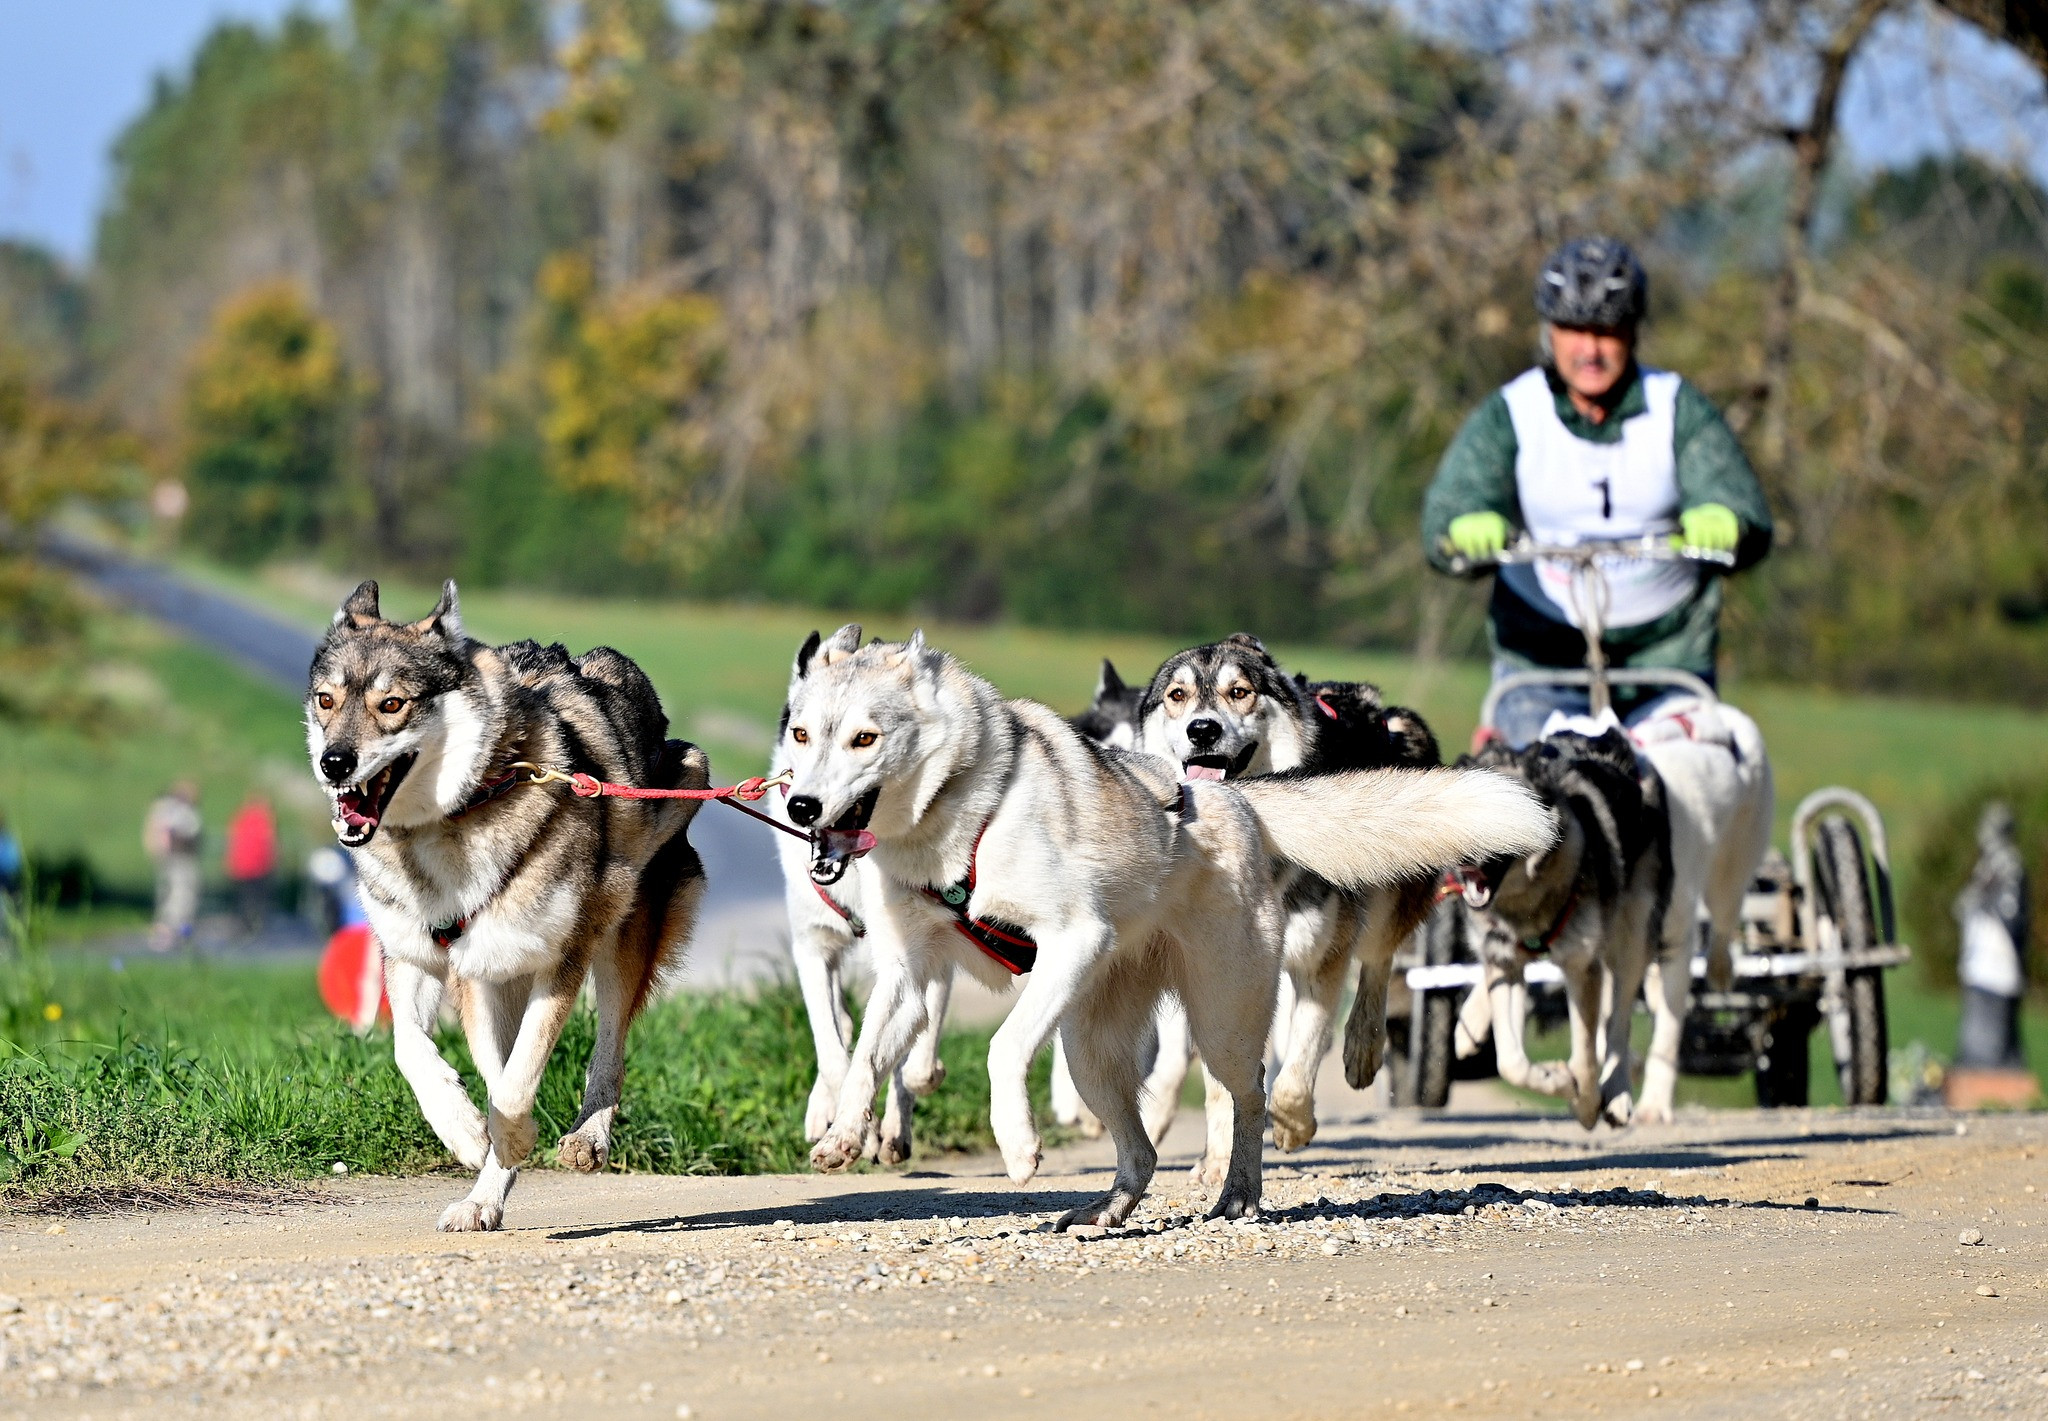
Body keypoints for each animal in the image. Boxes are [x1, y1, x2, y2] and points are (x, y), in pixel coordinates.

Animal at [307, 585, 708, 1228]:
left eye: (392, 704)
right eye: (327, 700)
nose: (334, 763)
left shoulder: (560, 959)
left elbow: (517, 1083)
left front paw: (514, 1138)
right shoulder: (434, 962)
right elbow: (415, 1052)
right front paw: (471, 1137)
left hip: (622, 930)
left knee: (612, 1047)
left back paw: (586, 1138)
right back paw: (482, 1199)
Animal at [774, 630, 1540, 1228]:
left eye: (865, 737)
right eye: (803, 734)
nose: (801, 806)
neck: (959, 817)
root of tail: (1236, 798)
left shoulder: (1073, 938)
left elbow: (1003, 1046)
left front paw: (1017, 1144)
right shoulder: (911, 973)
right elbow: (864, 1057)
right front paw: (843, 1134)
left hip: (1222, 1020)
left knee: (1251, 1093)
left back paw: (1239, 1191)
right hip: (1091, 1051)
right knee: (1139, 1148)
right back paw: (1108, 1205)